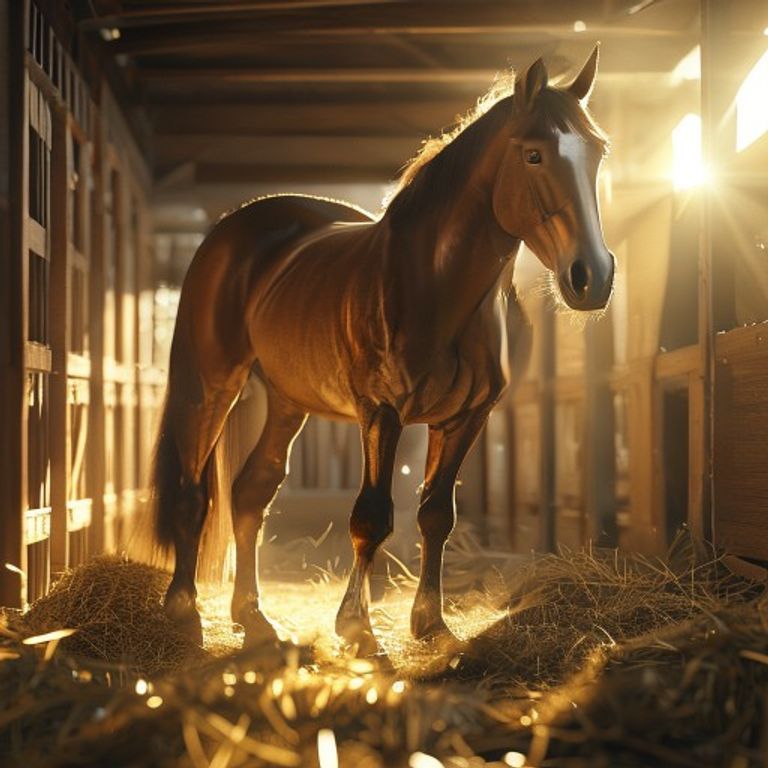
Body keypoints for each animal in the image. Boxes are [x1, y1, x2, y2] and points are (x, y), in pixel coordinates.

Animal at [151, 45, 614, 653]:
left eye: (598, 151)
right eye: (534, 154)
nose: (593, 277)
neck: (433, 284)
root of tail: (237, 224)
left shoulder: (467, 418)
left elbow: (436, 514)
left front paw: (432, 624)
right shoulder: (381, 411)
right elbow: (371, 516)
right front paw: (357, 627)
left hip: (287, 401)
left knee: (251, 492)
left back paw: (254, 617)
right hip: (210, 383)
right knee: (192, 491)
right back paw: (184, 612)